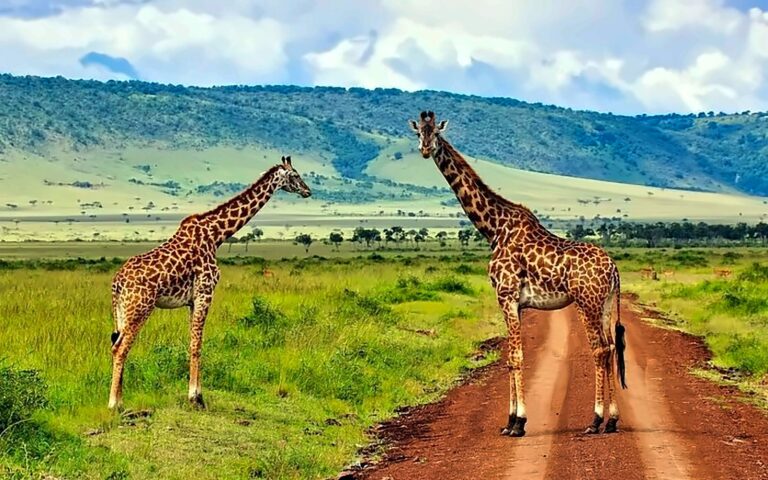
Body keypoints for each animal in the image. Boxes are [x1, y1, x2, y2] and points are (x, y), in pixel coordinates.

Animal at [108, 155, 311, 410]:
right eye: (295, 175)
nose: (308, 191)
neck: (217, 235)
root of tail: (117, 283)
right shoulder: (205, 292)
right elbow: (198, 345)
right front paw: (196, 398)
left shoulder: (192, 300)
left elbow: (192, 342)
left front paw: (195, 394)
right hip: (140, 308)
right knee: (120, 348)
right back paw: (114, 404)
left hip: (122, 310)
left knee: (116, 344)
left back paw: (120, 400)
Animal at [409, 111, 627, 437]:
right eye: (417, 132)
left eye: (435, 132)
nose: (425, 149)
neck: (493, 228)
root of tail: (613, 269)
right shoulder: (517, 303)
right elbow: (511, 358)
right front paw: (510, 421)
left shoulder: (506, 296)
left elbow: (515, 356)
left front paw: (519, 422)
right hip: (606, 303)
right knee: (611, 348)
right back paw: (612, 420)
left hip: (586, 302)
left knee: (600, 349)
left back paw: (596, 419)